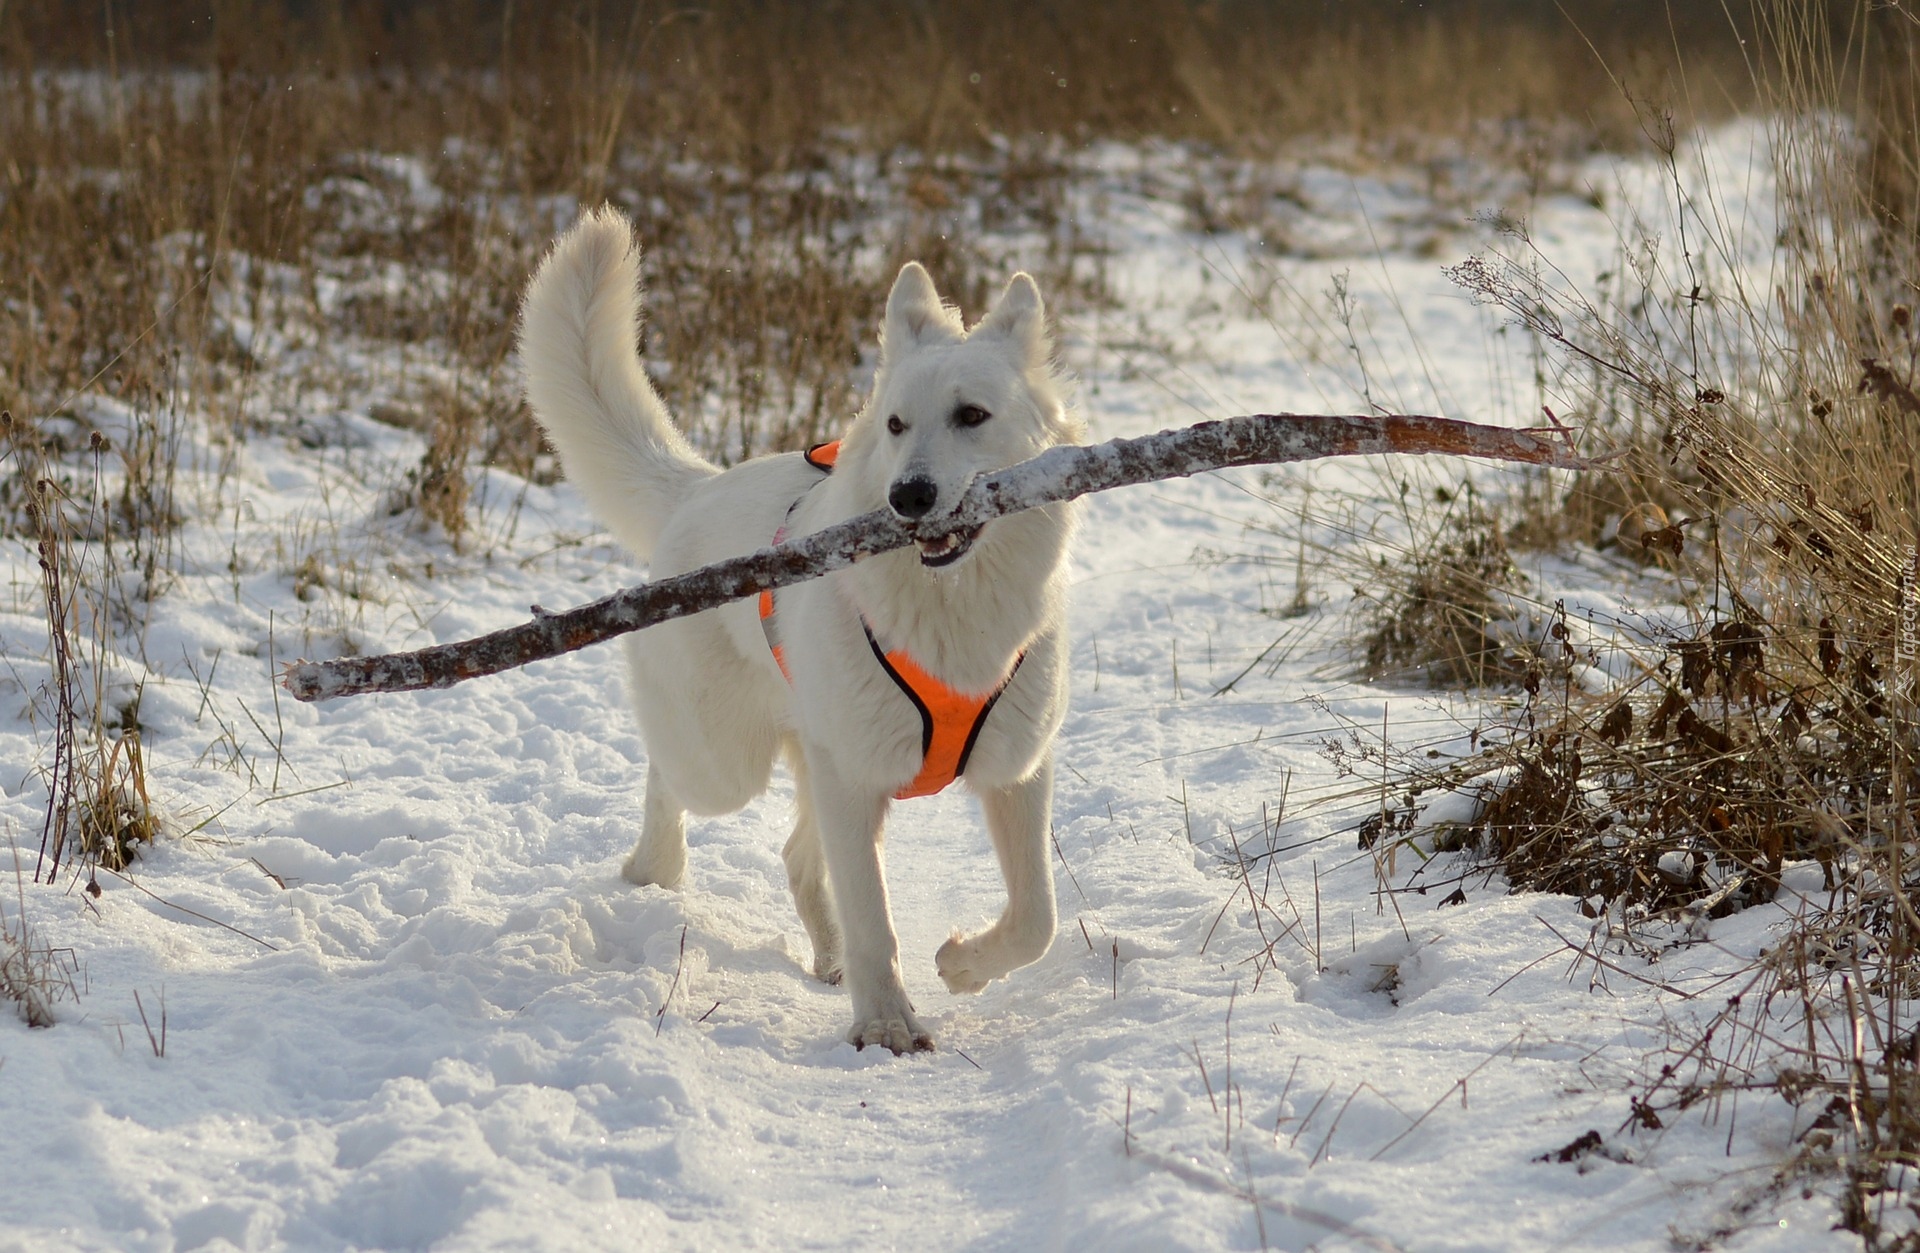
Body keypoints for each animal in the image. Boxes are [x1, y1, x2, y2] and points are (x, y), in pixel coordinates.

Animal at [518, 210, 1082, 1051]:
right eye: (896, 424)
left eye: (972, 416)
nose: (908, 496)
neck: (949, 604)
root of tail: (695, 489)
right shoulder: (853, 779)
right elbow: (875, 918)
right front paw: (887, 1025)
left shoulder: (1014, 770)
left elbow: (1037, 918)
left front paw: (961, 966)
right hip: (728, 765)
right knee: (671, 778)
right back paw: (653, 868)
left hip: (812, 754)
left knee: (794, 856)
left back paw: (828, 957)